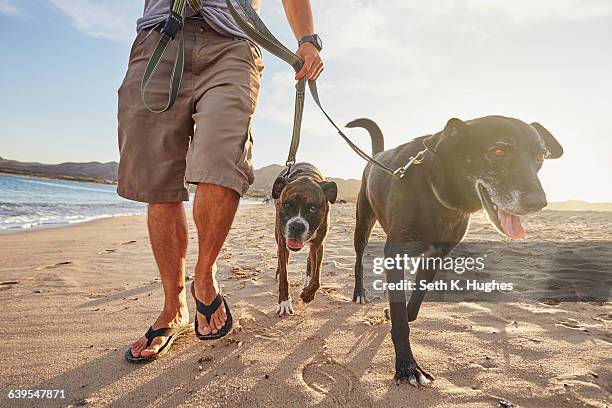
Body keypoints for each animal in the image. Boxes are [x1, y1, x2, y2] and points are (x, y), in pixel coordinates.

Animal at [350, 115, 564, 386]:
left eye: (540, 157)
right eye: (498, 151)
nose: (538, 203)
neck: (436, 194)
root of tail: (376, 157)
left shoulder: (435, 257)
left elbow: (415, 303)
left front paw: (401, 315)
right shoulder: (395, 254)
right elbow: (400, 321)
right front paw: (407, 366)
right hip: (363, 223)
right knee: (359, 260)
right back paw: (359, 292)